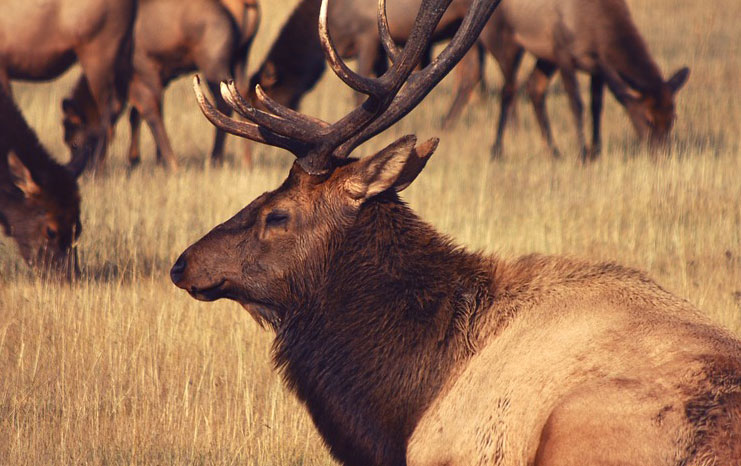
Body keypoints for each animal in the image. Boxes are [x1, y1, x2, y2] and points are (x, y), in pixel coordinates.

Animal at [62, 0, 262, 170]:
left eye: (74, 143)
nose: (86, 170)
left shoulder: (144, 71)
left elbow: (149, 112)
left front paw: (165, 163)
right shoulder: (160, 76)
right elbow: (138, 114)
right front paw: (138, 160)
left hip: (212, 64)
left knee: (222, 104)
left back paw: (215, 159)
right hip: (240, 57)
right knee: (242, 96)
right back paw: (246, 161)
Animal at [488, 0, 692, 160]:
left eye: (673, 118)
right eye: (648, 119)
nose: (663, 154)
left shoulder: (598, 67)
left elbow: (597, 106)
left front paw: (596, 152)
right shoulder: (563, 52)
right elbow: (577, 104)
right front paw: (583, 154)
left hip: (546, 57)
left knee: (534, 87)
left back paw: (554, 152)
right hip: (508, 40)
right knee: (508, 90)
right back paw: (497, 150)